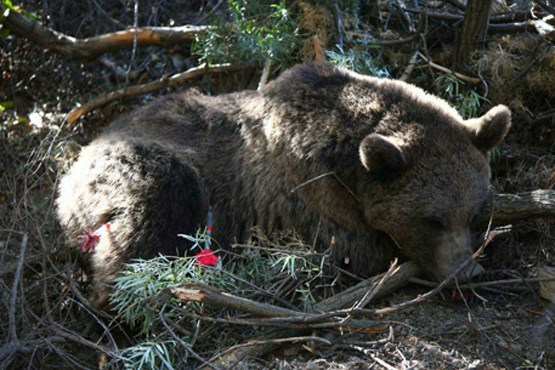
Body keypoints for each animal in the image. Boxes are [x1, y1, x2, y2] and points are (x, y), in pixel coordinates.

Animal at [57, 62, 512, 306]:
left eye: (474, 214)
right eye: (431, 219)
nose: (466, 271)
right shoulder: (311, 201)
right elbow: (360, 252)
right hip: (134, 171)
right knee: (153, 213)